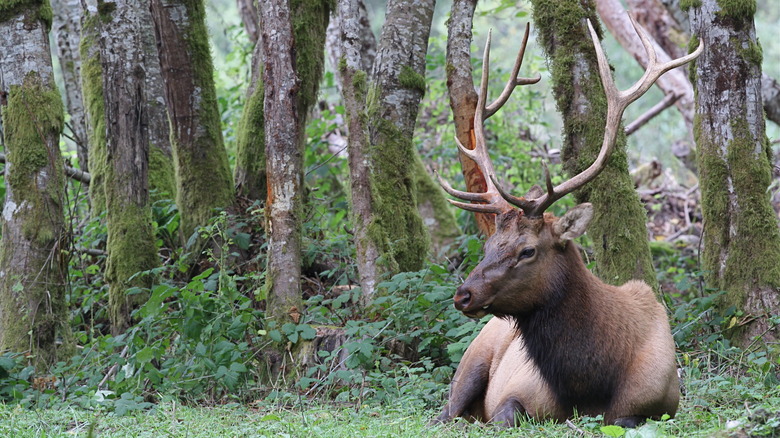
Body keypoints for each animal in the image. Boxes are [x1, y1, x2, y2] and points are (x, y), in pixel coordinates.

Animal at [436, 18, 704, 428]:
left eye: (528, 250)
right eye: (489, 245)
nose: (463, 294)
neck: (588, 383)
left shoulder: (655, 406)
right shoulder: (519, 392)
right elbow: (504, 416)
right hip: (472, 359)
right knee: (445, 412)